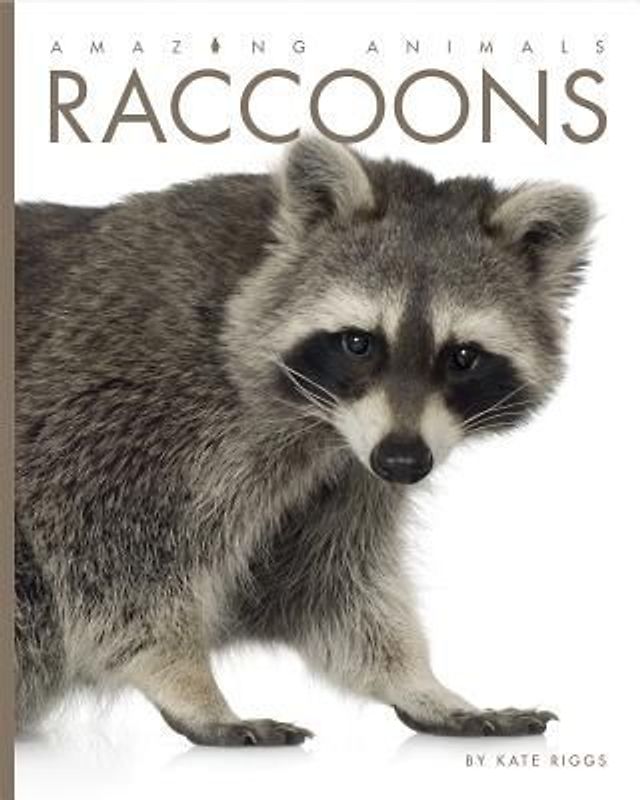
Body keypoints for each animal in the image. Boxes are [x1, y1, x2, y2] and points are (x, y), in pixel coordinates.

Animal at [15, 136, 593, 745]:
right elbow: (110, 552)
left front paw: (416, 681)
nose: (404, 461)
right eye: (359, 343)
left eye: (463, 357)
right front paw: (186, 680)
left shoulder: (350, 470)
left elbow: (334, 585)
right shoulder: (127, 399)